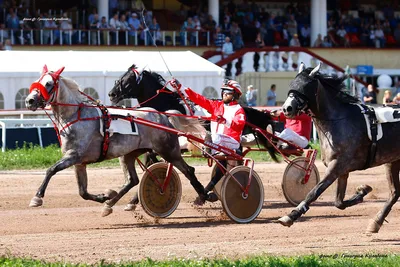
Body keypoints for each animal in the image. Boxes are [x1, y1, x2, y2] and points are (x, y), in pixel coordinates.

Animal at [23, 65, 211, 216]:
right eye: (36, 82)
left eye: (48, 83)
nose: (29, 100)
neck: (76, 116)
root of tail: (164, 116)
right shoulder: (79, 162)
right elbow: (83, 192)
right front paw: (105, 196)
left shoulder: (74, 155)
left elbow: (51, 170)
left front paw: (37, 197)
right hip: (128, 154)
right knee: (132, 180)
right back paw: (110, 204)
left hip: (168, 151)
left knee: (188, 170)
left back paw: (203, 195)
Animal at [278, 62, 400, 234]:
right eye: (292, 84)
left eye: (306, 86)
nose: (287, 108)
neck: (339, 120)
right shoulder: (342, 170)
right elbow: (339, 202)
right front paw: (362, 191)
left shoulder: (337, 165)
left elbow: (315, 191)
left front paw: (292, 215)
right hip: (392, 161)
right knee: (395, 193)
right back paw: (376, 222)